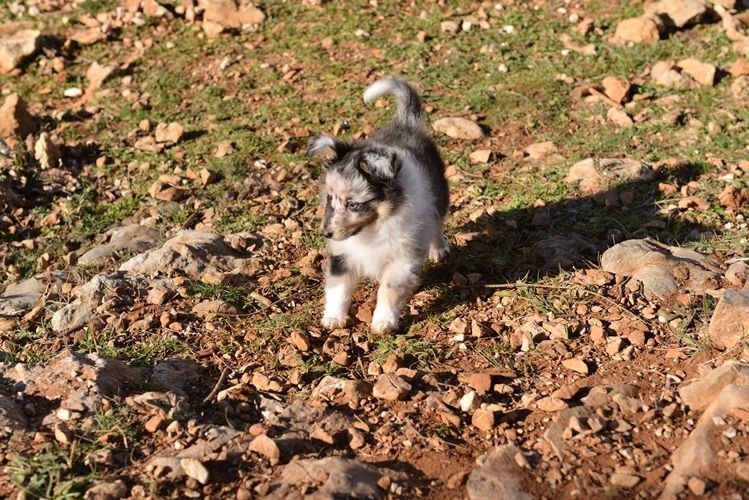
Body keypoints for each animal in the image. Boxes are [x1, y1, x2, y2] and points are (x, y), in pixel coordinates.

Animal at [306, 77, 448, 336]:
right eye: (329, 199)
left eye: (353, 204)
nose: (326, 234)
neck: (373, 228)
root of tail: (406, 124)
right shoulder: (342, 254)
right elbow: (338, 287)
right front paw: (333, 318)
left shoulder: (403, 258)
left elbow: (389, 289)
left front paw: (383, 322)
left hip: (439, 194)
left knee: (437, 223)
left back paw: (438, 249)